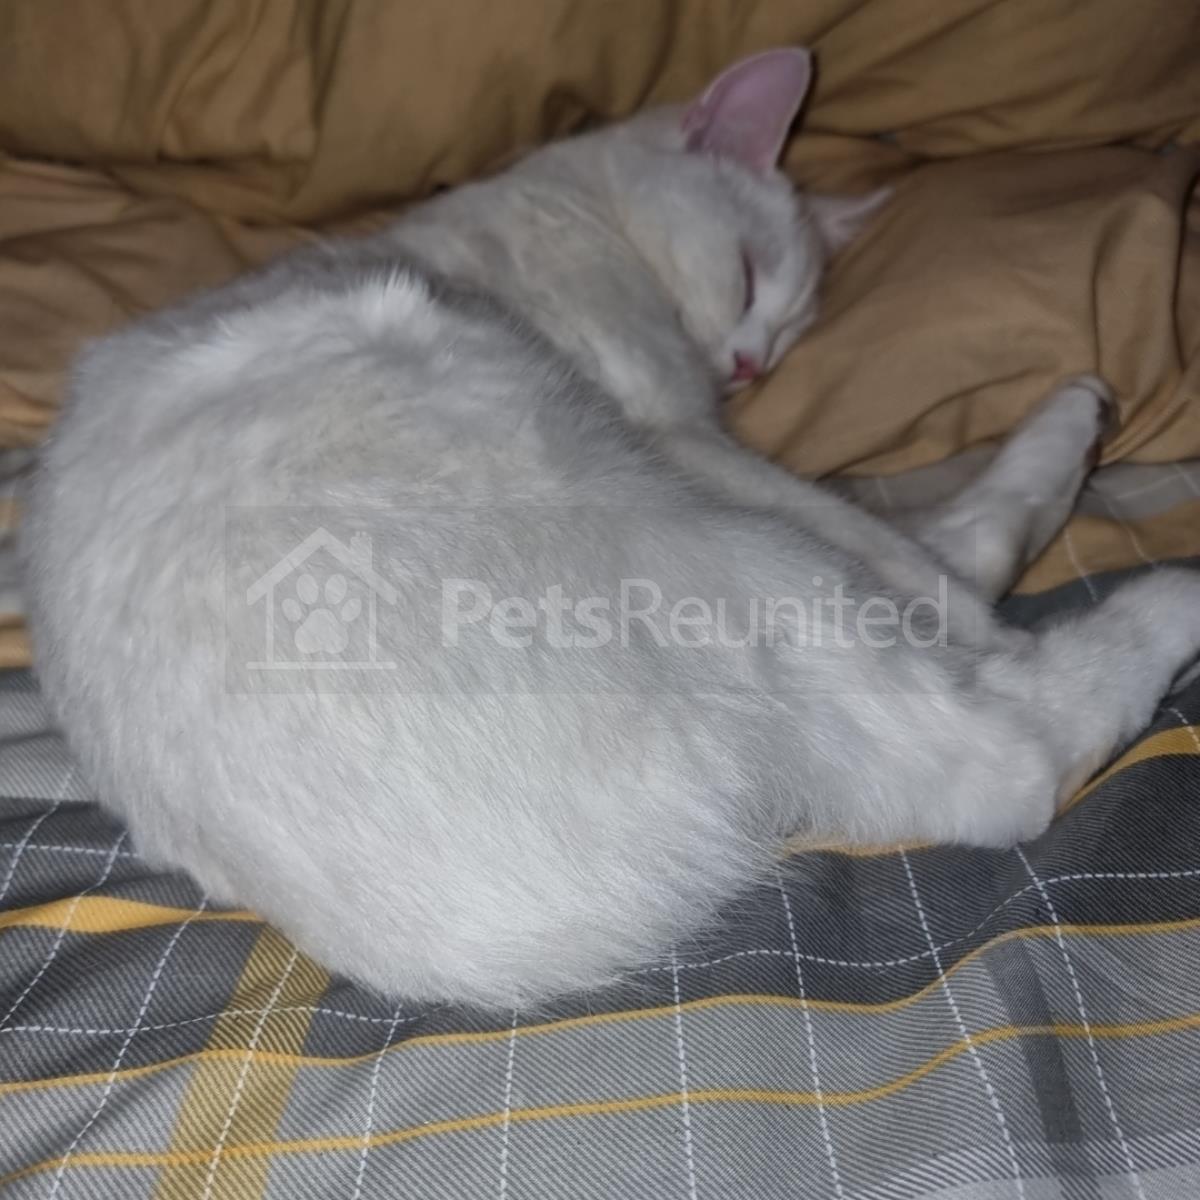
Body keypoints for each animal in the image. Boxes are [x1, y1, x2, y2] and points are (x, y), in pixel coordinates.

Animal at [23, 48, 1200, 1009]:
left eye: (790, 325)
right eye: (748, 273)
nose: (750, 364)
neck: (568, 209)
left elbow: (904, 531)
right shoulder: (676, 428)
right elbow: (895, 549)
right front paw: (978, 600)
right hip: (720, 554)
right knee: (1001, 753)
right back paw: (1154, 586)